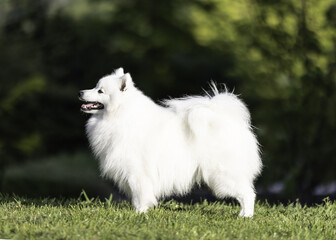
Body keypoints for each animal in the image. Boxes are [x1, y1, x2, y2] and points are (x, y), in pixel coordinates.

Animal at [79, 68, 262, 218]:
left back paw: (246, 216)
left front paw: (139, 214)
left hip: (223, 175)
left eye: (100, 91)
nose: (81, 92)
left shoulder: (137, 172)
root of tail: (230, 121)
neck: (121, 115)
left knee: (248, 194)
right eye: (95, 86)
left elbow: (140, 194)